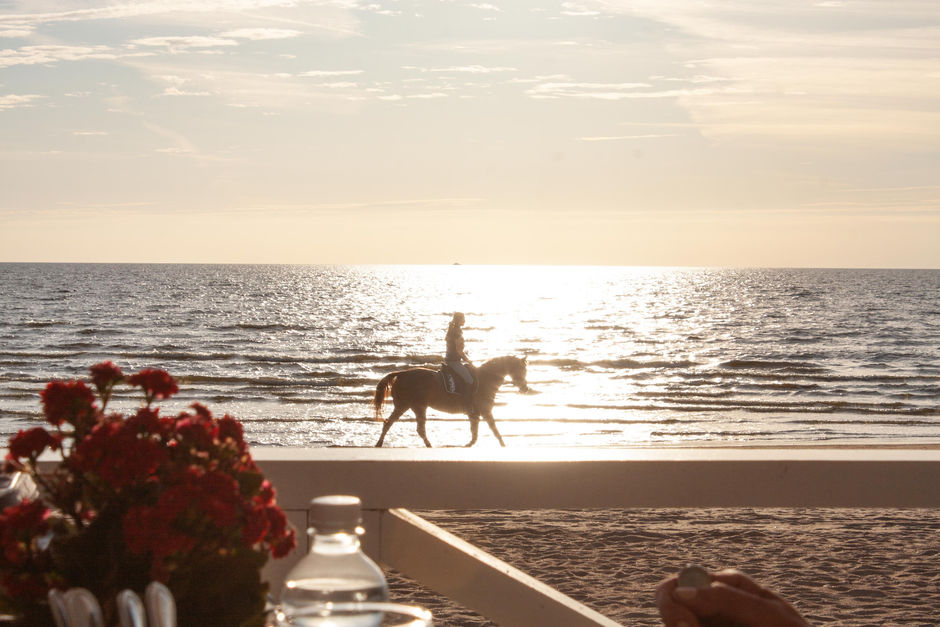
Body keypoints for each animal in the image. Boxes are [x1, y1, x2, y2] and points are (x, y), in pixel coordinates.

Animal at [370, 356, 528, 448]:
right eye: (521, 369)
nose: (525, 388)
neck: (485, 379)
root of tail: (401, 374)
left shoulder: (475, 413)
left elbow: (475, 430)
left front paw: (470, 444)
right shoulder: (485, 411)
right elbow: (494, 429)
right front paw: (503, 445)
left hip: (417, 406)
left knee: (417, 429)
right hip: (405, 405)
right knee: (390, 423)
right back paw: (379, 443)